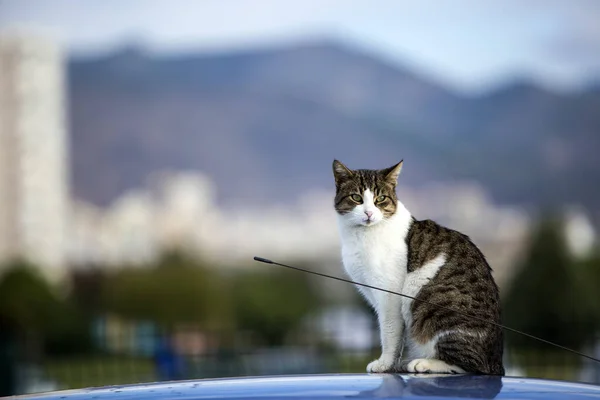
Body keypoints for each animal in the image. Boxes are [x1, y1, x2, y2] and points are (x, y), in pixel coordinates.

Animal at [330, 159, 504, 376]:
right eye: (356, 198)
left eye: (381, 199)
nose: (369, 213)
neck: (362, 235)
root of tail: (497, 362)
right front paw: (392, 364)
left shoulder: (389, 295)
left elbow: (389, 332)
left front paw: (385, 364)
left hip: (433, 305)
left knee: (473, 365)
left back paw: (424, 363)